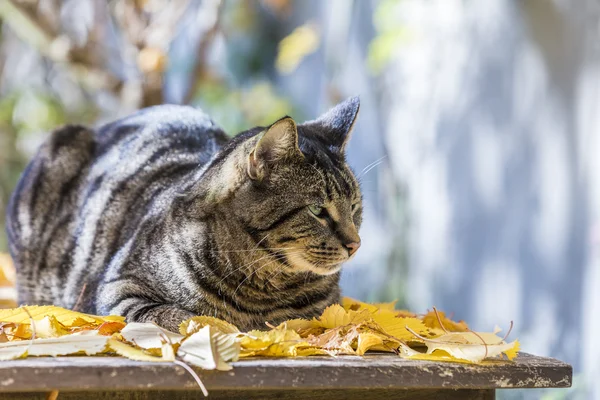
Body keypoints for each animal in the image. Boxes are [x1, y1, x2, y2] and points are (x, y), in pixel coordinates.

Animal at [5, 96, 360, 332]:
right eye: (317, 210)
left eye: (355, 207)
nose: (355, 244)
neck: (265, 288)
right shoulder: (116, 290)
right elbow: (181, 316)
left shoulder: (328, 310)